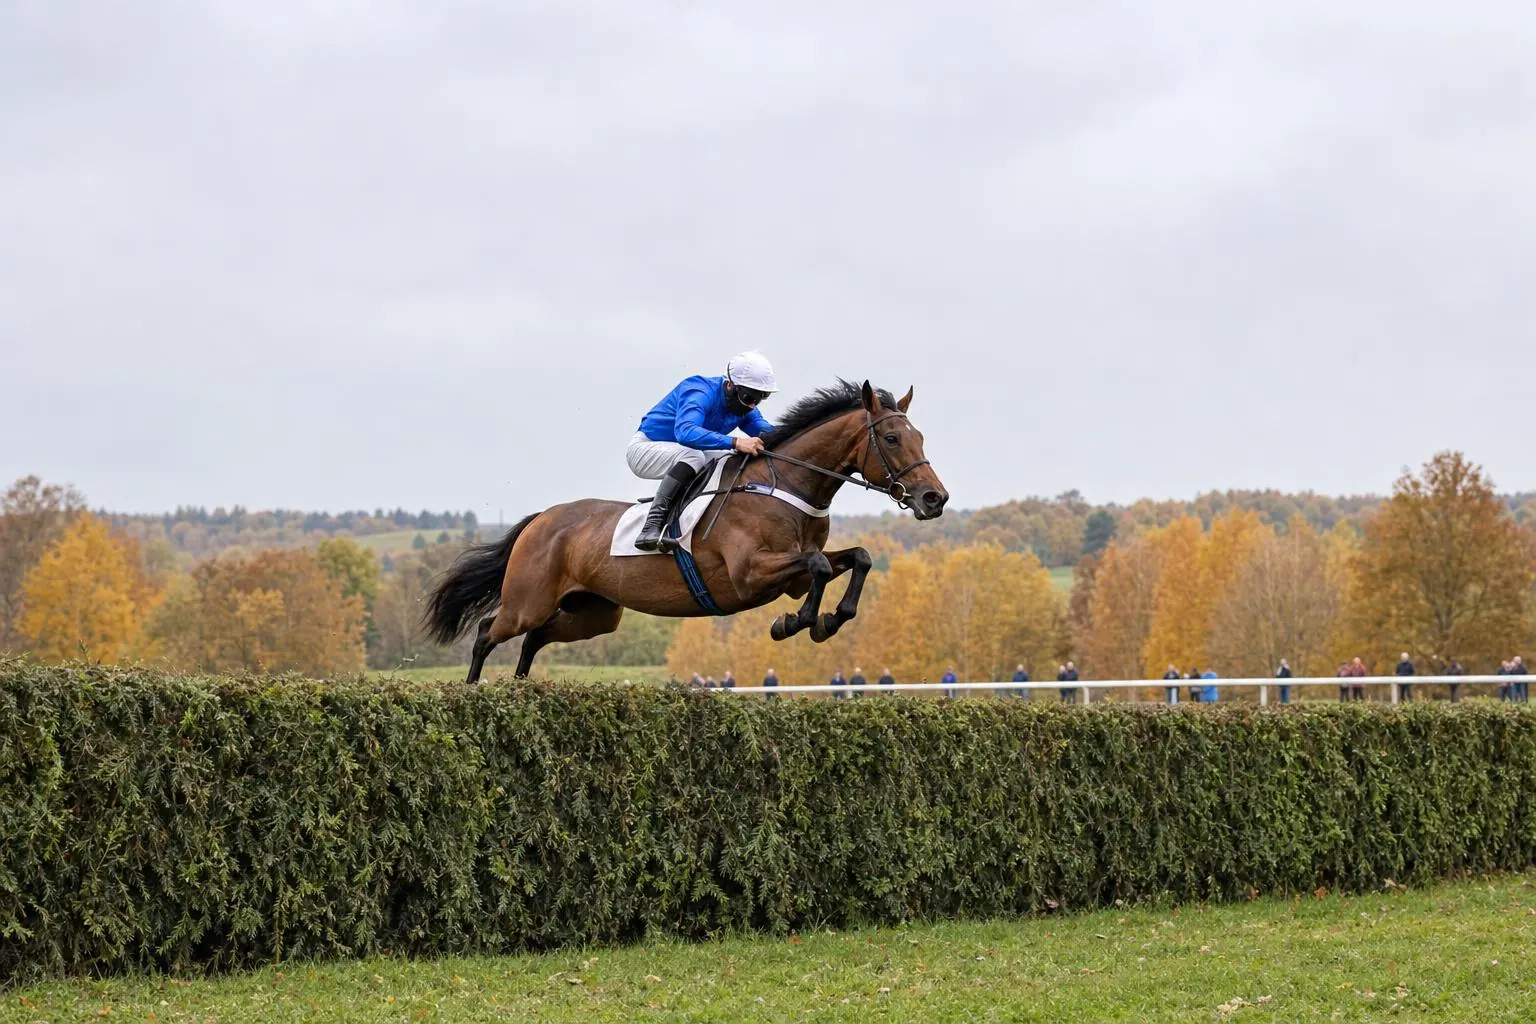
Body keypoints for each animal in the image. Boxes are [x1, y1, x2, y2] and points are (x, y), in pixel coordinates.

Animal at [423, 379, 948, 683]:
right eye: (892, 438)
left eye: (922, 437)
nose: (934, 499)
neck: (783, 484)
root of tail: (541, 519)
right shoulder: (748, 575)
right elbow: (820, 564)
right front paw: (795, 622)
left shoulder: (791, 575)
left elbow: (856, 557)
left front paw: (825, 620)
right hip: (527, 600)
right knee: (489, 632)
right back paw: (472, 693)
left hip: (593, 613)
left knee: (534, 639)